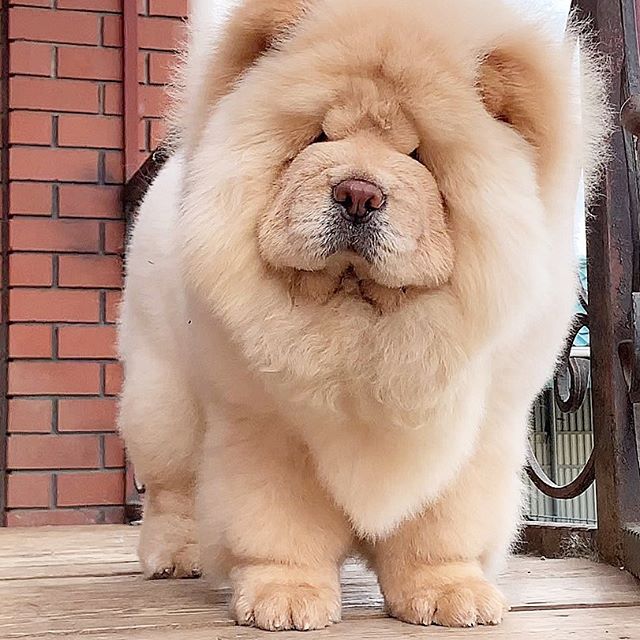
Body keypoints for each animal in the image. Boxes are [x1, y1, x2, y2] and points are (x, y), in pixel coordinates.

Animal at [119, 0, 604, 632]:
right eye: (320, 136)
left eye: (418, 155)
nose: (357, 193)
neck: (361, 326)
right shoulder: (264, 427)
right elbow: (278, 523)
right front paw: (285, 595)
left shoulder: (473, 430)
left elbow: (441, 528)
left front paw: (450, 593)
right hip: (164, 402)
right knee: (170, 491)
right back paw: (176, 556)